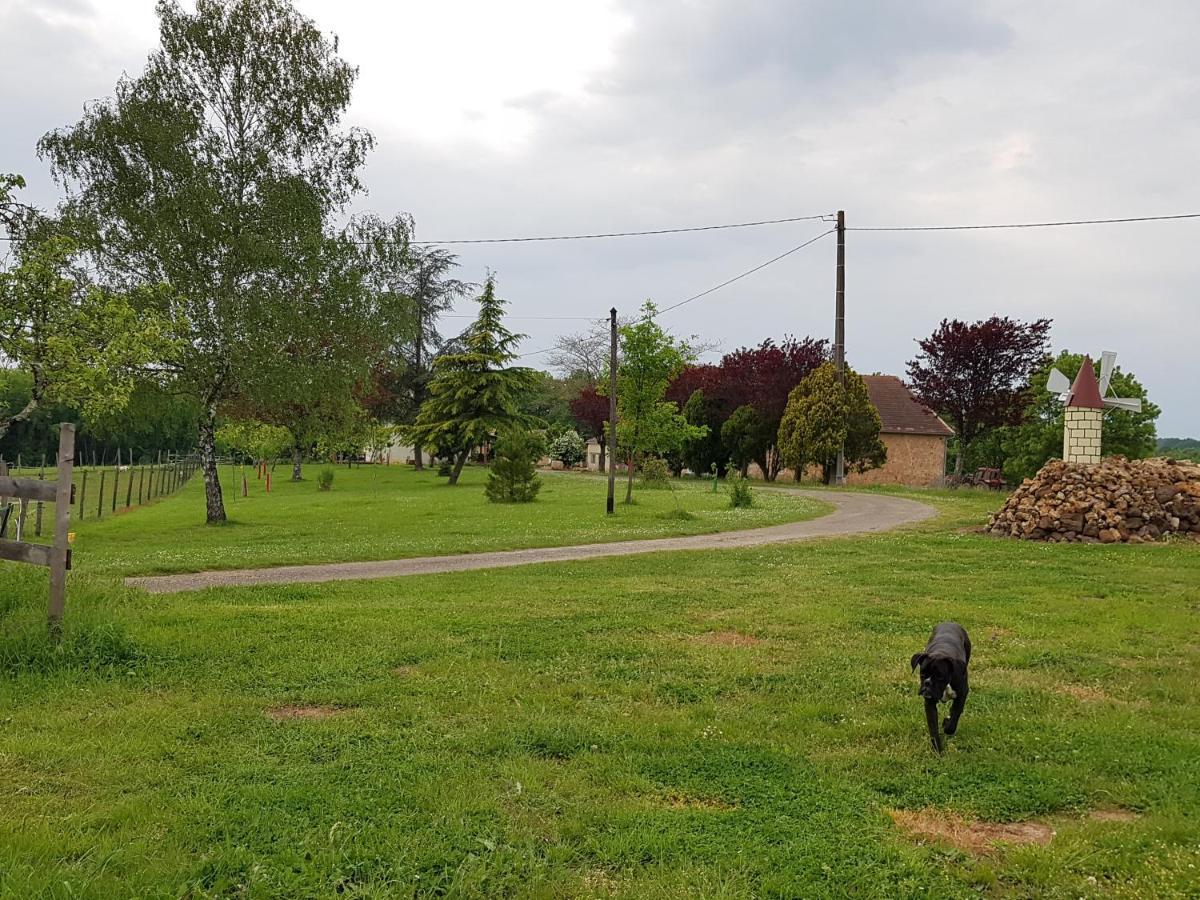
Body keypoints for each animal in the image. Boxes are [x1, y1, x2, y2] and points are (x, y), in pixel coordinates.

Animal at [912, 619, 969, 753]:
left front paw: (947, 726)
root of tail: (950, 622)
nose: (927, 683)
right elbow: (933, 728)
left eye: (939, 676)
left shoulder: (962, 694)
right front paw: (937, 749)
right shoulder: (929, 703)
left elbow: (955, 716)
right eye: (922, 674)